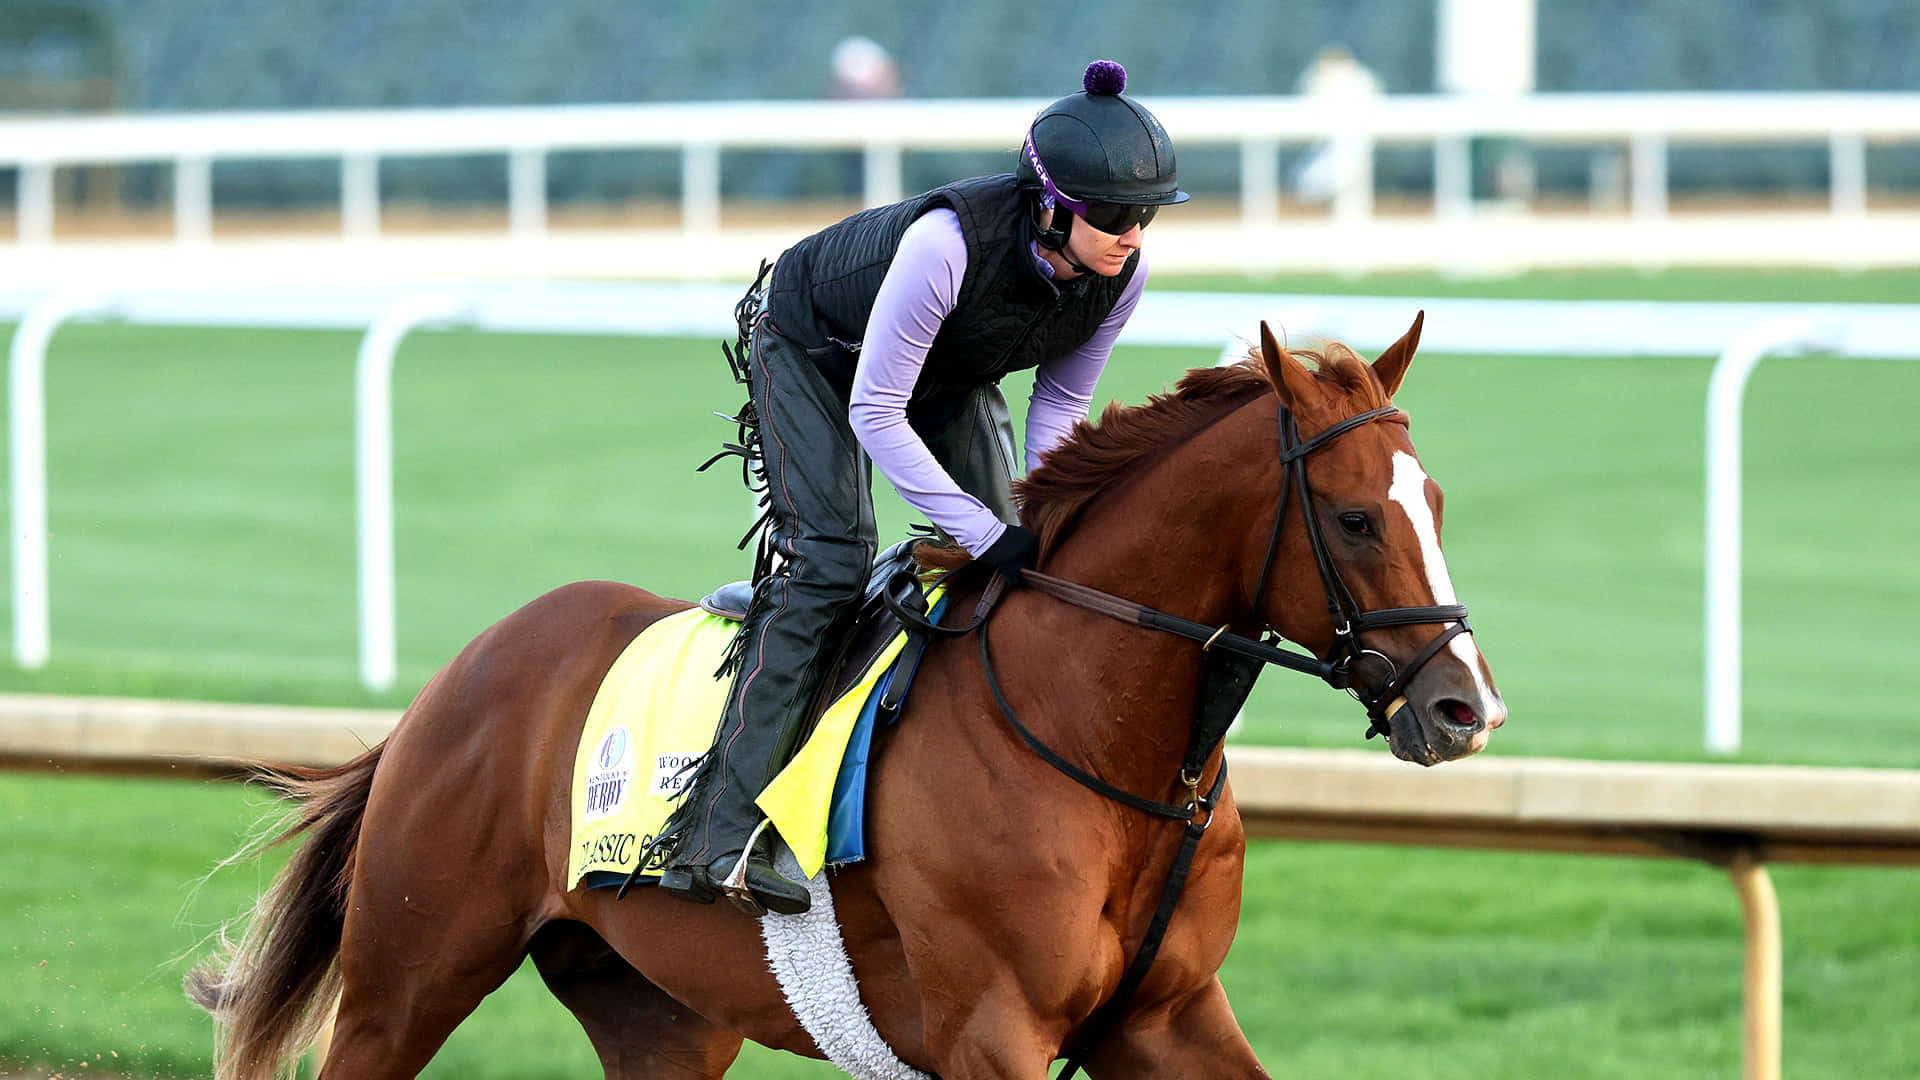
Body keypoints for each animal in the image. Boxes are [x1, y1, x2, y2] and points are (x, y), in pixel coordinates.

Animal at [187, 315, 1497, 1076]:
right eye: (1354, 518)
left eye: (1436, 499)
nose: (1464, 708)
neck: (1099, 744)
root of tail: (455, 681)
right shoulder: (991, 1029)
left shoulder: (1166, 1015)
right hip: (407, 980)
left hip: (659, 1014)